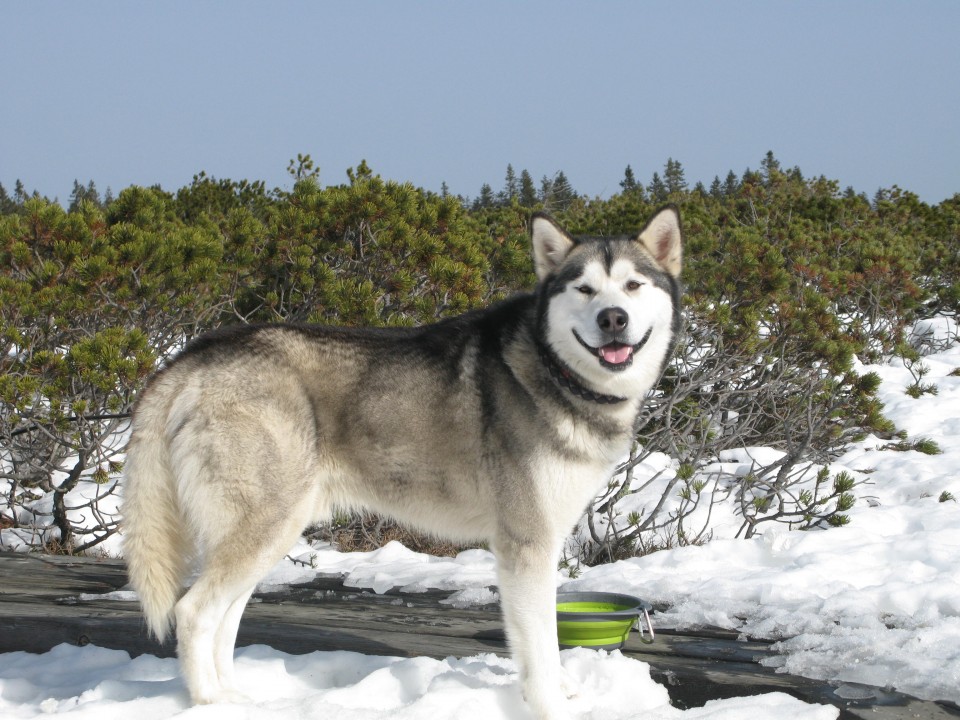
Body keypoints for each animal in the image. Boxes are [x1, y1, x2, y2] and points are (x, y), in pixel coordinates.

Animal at [124, 205, 684, 716]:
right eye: (585, 289)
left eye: (633, 285)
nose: (613, 319)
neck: (558, 374)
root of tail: (193, 356)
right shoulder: (525, 543)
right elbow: (539, 645)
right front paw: (549, 705)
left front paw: (567, 690)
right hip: (265, 523)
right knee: (194, 612)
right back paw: (210, 702)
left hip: (267, 532)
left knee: (225, 619)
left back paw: (238, 699)